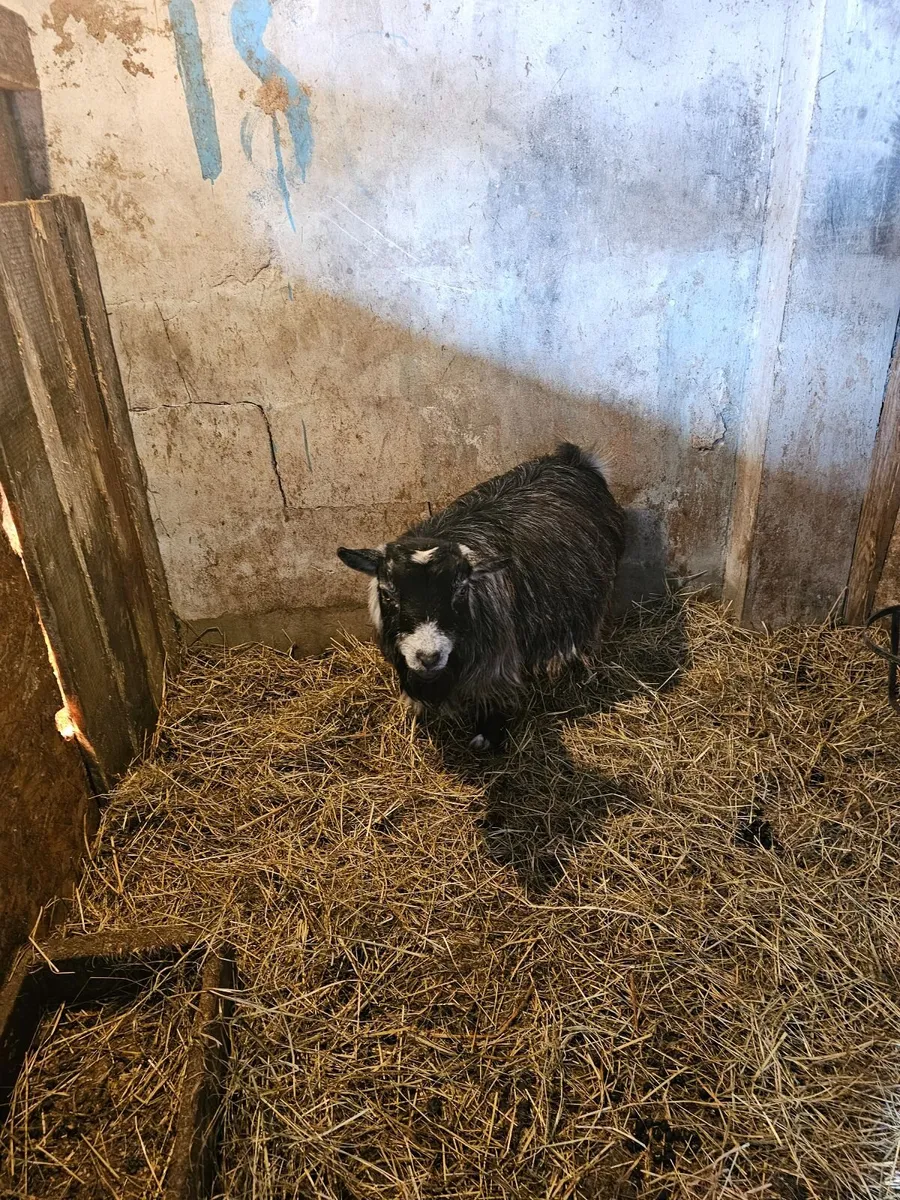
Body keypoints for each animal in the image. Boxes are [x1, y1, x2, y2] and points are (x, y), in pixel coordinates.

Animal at [337, 443, 624, 749]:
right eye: (388, 593)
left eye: (461, 590)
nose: (428, 656)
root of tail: (575, 460)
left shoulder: (496, 663)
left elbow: (492, 696)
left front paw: (488, 734)